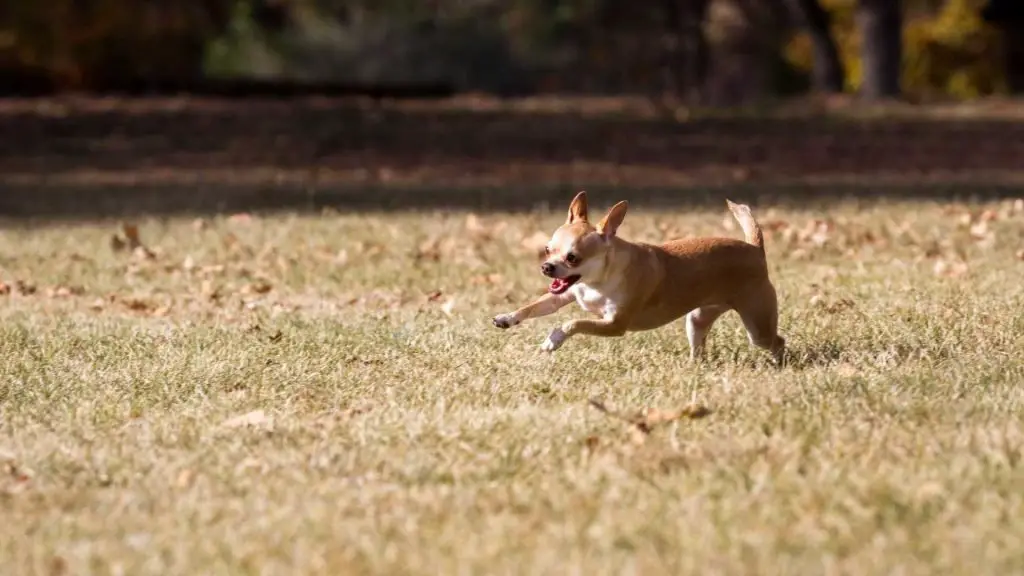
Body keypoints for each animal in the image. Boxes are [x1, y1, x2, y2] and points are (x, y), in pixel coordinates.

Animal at [491, 190, 786, 360]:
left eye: (573, 257)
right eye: (547, 249)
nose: (547, 267)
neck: (596, 282)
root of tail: (754, 248)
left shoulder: (614, 325)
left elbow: (572, 323)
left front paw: (553, 340)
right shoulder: (564, 295)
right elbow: (534, 306)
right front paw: (507, 317)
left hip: (757, 326)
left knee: (776, 340)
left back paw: (778, 362)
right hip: (697, 319)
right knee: (699, 342)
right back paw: (694, 365)